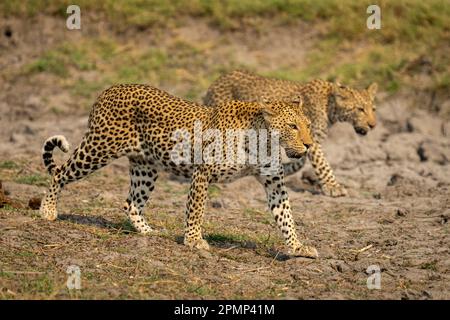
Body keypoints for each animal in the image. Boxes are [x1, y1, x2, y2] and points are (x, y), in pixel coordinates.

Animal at [40, 84, 318, 258]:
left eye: (307, 125)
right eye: (292, 126)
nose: (308, 144)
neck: (263, 140)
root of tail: (108, 90)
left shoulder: (274, 182)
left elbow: (286, 216)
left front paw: (298, 247)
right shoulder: (203, 173)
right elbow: (196, 210)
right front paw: (194, 240)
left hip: (145, 166)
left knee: (132, 203)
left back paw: (149, 232)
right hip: (99, 149)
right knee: (59, 172)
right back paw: (47, 211)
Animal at [204, 70, 376, 198]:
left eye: (373, 109)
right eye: (360, 109)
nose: (373, 125)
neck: (330, 106)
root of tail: (215, 82)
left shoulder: (308, 139)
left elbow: (301, 162)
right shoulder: (313, 141)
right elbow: (323, 164)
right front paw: (333, 187)